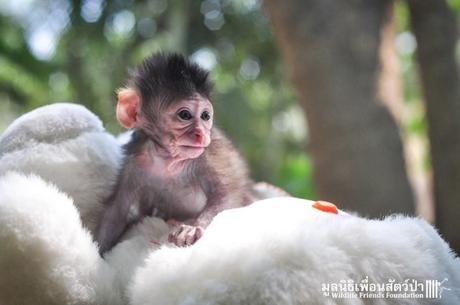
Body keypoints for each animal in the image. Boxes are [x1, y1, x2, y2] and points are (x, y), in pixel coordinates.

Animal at [96, 52, 253, 254]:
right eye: (185, 115)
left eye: (205, 116)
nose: (202, 134)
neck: (167, 158)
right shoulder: (135, 162)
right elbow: (117, 209)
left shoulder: (207, 157)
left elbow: (227, 196)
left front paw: (191, 228)